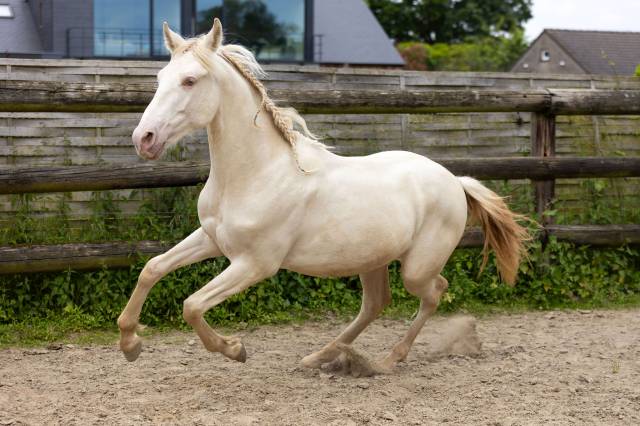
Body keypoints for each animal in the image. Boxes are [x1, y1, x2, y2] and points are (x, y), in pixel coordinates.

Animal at [117, 19, 528, 372]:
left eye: (190, 80)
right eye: (160, 78)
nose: (144, 139)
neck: (257, 173)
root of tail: (455, 180)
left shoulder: (255, 263)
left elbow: (192, 305)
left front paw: (234, 349)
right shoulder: (212, 239)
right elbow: (152, 268)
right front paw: (130, 344)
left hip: (416, 267)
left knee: (433, 292)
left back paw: (387, 359)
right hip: (372, 258)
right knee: (376, 303)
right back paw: (322, 356)